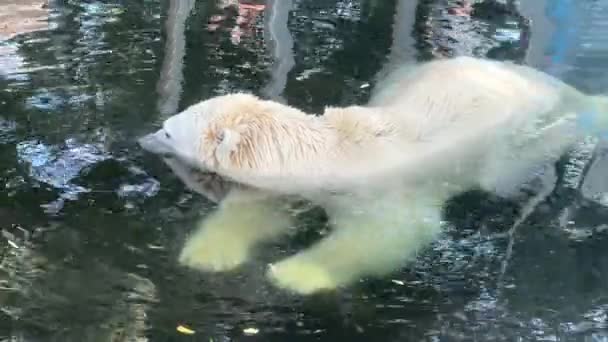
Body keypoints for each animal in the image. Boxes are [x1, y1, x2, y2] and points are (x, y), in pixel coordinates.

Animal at [139, 56, 608, 294]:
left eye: (169, 129)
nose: (143, 138)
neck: (333, 155)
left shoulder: (384, 190)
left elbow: (388, 234)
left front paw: (293, 274)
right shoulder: (293, 185)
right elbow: (258, 212)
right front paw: (206, 254)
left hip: (521, 142)